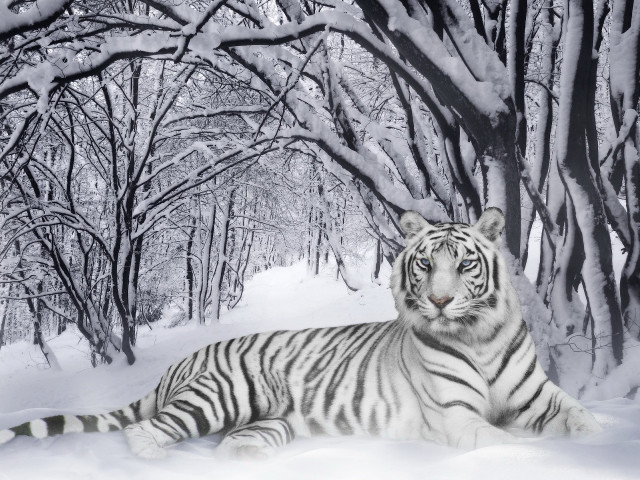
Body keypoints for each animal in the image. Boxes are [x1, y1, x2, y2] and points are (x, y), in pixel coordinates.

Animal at [0, 208, 601, 459]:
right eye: (426, 265)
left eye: (465, 264)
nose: (439, 301)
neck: (479, 336)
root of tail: (182, 361)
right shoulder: (457, 417)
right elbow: (505, 443)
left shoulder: (540, 397)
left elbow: (582, 419)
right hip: (221, 395)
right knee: (146, 432)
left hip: (270, 422)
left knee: (232, 444)